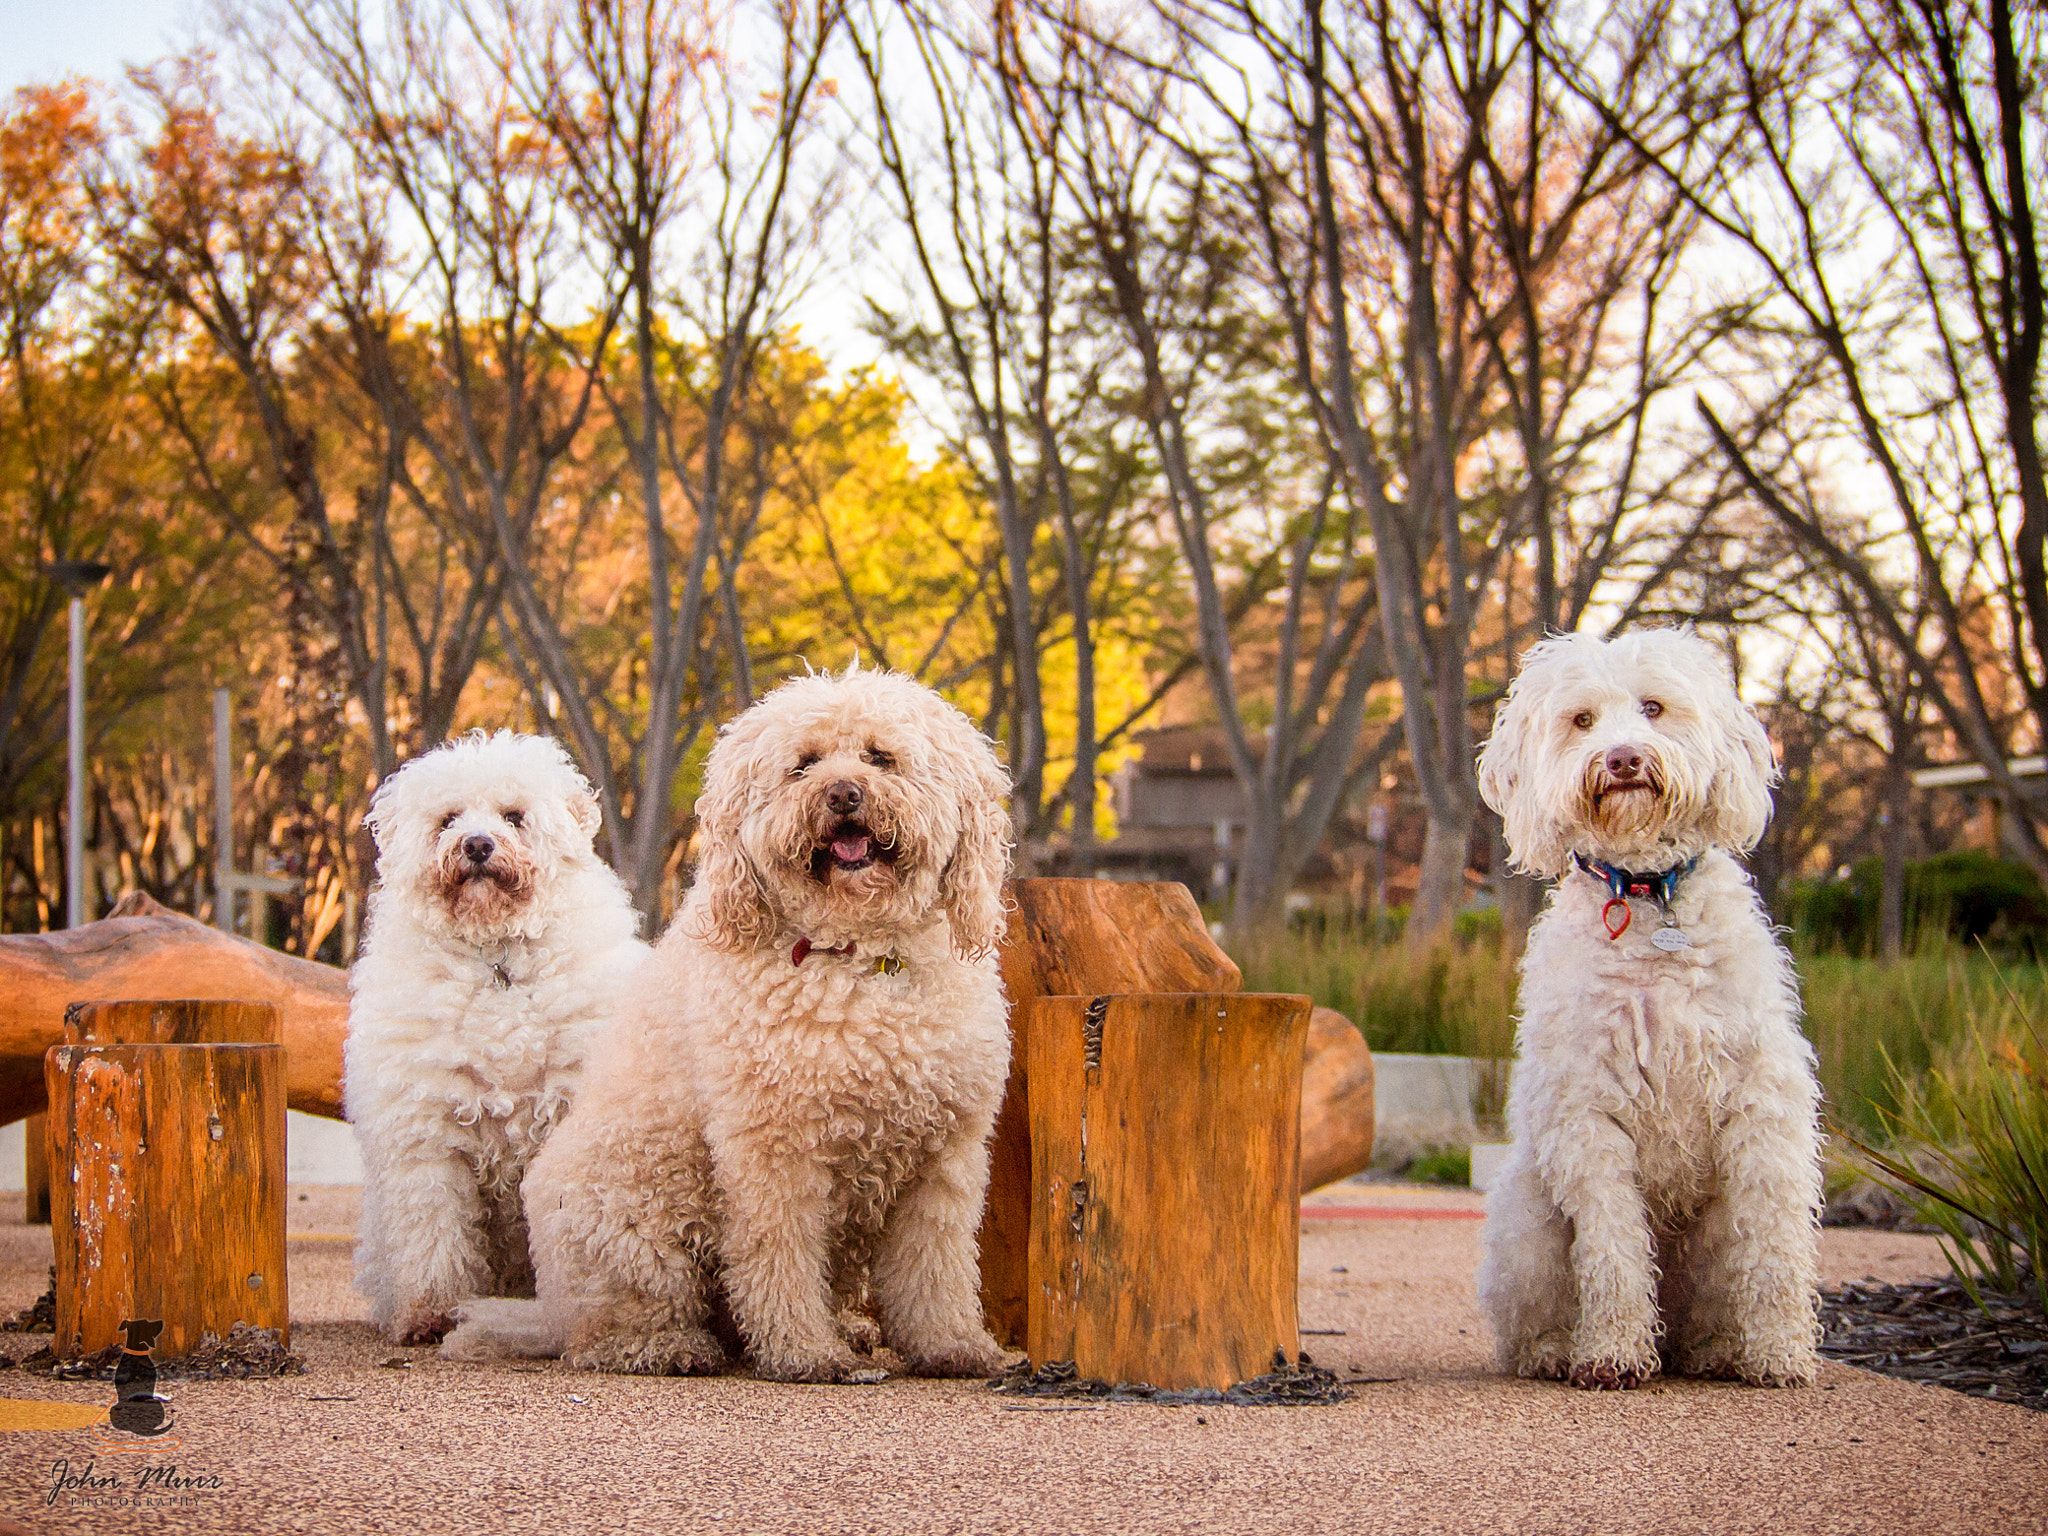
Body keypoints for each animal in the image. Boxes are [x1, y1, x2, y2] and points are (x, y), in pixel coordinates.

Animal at [348, 733, 643, 1343]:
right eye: (448, 819)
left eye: (514, 816)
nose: (478, 845)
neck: (497, 960)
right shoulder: (427, 1138)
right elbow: (433, 1232)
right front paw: (431, 1314)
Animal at [454, 667, 1015, 1392]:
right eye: (804, 763)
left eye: (880, 757)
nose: (843, 792)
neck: (860, 958)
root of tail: (549, 1309)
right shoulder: (775, 1150)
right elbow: (781, 1258)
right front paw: (806, 1352)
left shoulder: (943, 1157)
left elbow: (935, 1267)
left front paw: (951, 1345)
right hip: (633, 1217)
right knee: (615, 1324)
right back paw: (671, 1346)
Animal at [1474, 626, 1826, 1392]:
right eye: (1581, 720)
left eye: (1655, 708)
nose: (1623, 758)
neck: (1647, 894)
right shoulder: (1589, 1113)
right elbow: (1611, 1247)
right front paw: (1611, 1352)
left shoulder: (1762, 1105)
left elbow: (1775, 1245)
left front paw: (1782, 1353)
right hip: (1526, 1222)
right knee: (1535, 1311)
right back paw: (1556, 1348)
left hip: (1711, 1241)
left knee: (1716, 1304)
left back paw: (1722, 1347)